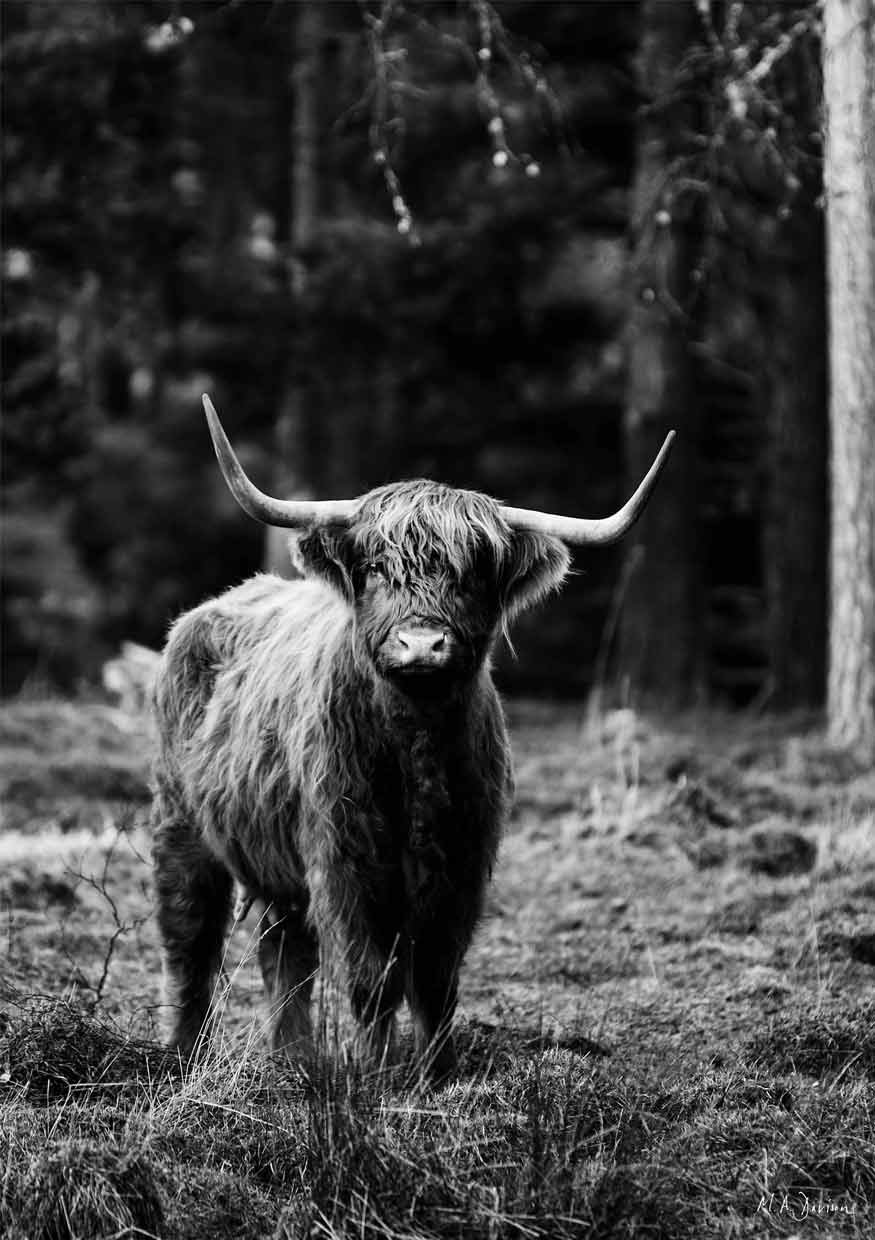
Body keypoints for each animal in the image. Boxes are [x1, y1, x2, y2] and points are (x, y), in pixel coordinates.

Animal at [151, 395, 674, 1078]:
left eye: (472, 576)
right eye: (376, 569)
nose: (422, 644)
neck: (417, 751)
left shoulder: (462, 863)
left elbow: (435, 978)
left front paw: (438, 1076)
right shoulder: (344, 857)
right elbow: (371, 978)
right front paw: (375, 1076)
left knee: (282, 950)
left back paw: (296, 1062)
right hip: (181, 822)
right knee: (190, 934)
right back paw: (182, 1057)